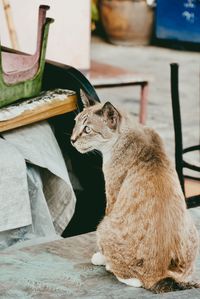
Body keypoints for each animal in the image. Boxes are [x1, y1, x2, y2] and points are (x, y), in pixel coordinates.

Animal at [70, 90, 198, 294]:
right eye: (75, 123)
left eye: (87, 129)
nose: (72, 140)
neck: (128, 130)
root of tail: (158, 274)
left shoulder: (111, 194)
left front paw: (101, 257)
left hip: (103, 225)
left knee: (136, 280)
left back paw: (108, 264)